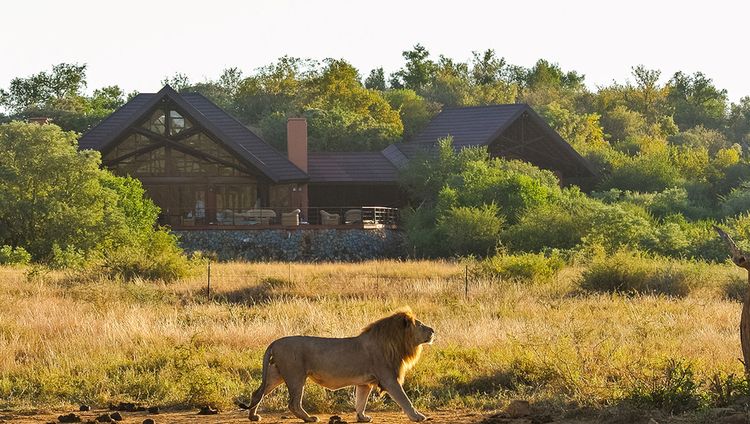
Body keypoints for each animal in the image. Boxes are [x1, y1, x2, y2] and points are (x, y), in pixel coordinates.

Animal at [247, 306, 434, 422]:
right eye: (420, 325)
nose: (433, 330)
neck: (396, 343)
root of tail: (274, 342)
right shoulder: (389, 378)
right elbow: (404, 399)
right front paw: (418, 416)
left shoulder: (365, 383)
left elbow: (361, 401)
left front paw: (362, 418)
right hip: (296, 375)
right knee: (293, 403)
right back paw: (309, 418)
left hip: (276, 373)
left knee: (257, 393)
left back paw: (253, 416)